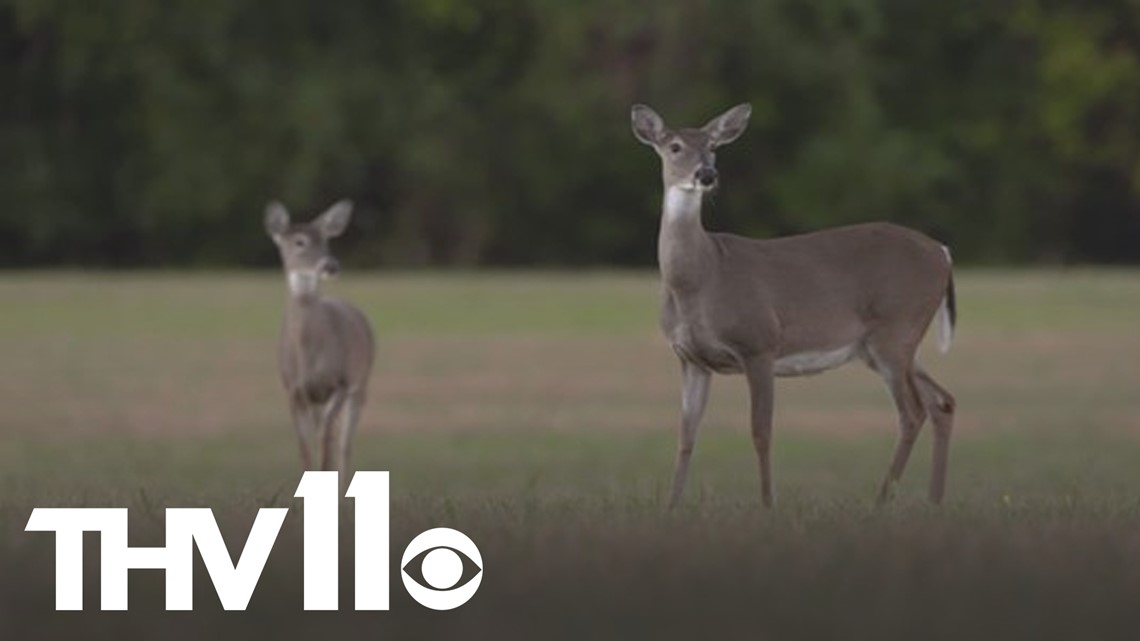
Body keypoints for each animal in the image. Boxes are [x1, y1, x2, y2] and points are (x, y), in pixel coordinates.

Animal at [264, 199, 375, 492]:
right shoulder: (293, 390)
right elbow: (305, 450)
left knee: (344, 445)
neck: (309, 356)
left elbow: (327, 445)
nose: (331, 265)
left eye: (326, 240)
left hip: (361, 384)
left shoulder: (341, 383)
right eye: (299, 241)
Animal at [631, 103, 957, 509]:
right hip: (888, 344)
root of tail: (943, 252)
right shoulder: (691, 359)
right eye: (674, 146)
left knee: (912, 412)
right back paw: (934, 501)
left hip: (896, 329)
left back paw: (882, 502)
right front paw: (672, 506)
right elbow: (686, 436)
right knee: (942, 401)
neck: (701, 279)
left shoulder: (758, 343)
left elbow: (761, 432)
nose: (706, 175)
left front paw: (768, 505)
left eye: (713, 147)